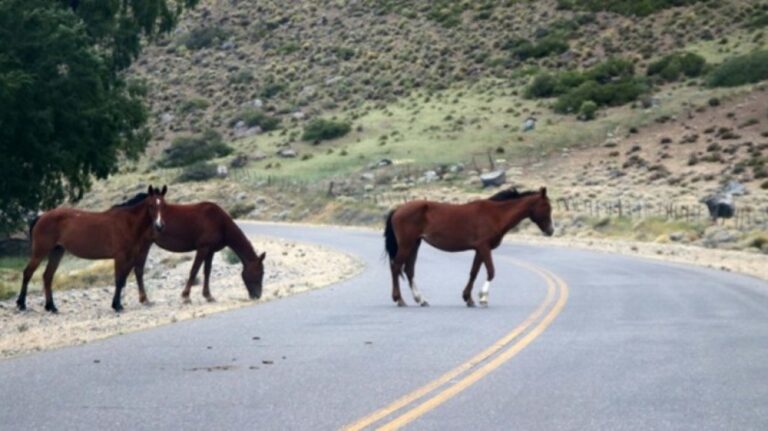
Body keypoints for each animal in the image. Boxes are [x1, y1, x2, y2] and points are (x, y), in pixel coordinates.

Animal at [16, 185, 168, 313]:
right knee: (28, 273)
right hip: (40, 252)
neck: (127, 222)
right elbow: (119, 280)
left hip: (57, 252)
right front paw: (117, 306)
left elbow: (123, 280)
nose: (159, 226)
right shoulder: (120, 257)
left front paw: (118, 304)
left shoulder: (129, 257)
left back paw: (51, 307)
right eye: (151, 205)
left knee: (47, 276)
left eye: (164, 205)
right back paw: (21, 304)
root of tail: (41, 217)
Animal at [132, 200, 265, 303]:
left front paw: (208, 296)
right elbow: (194, 270)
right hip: (144, 245)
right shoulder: (203, 248)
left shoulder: (210, 251)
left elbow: (207, 272)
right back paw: (144, 299)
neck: (220, 223)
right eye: (259, 272)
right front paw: (186, 296)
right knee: (139, 270)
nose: (257, 295)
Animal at [383, 187, 554, 308]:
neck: (495, 215)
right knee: (396, 267)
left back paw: (420, 300)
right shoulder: (484, 247)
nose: (551, 231)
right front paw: (483, 298)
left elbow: (474, 273)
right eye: (546, 206)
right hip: (406, 244)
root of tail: (398, 209)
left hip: (414, 245)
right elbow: (491, 272)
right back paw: (399, 299)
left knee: (408, 270)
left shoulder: (479, 250)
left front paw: (468, 298)